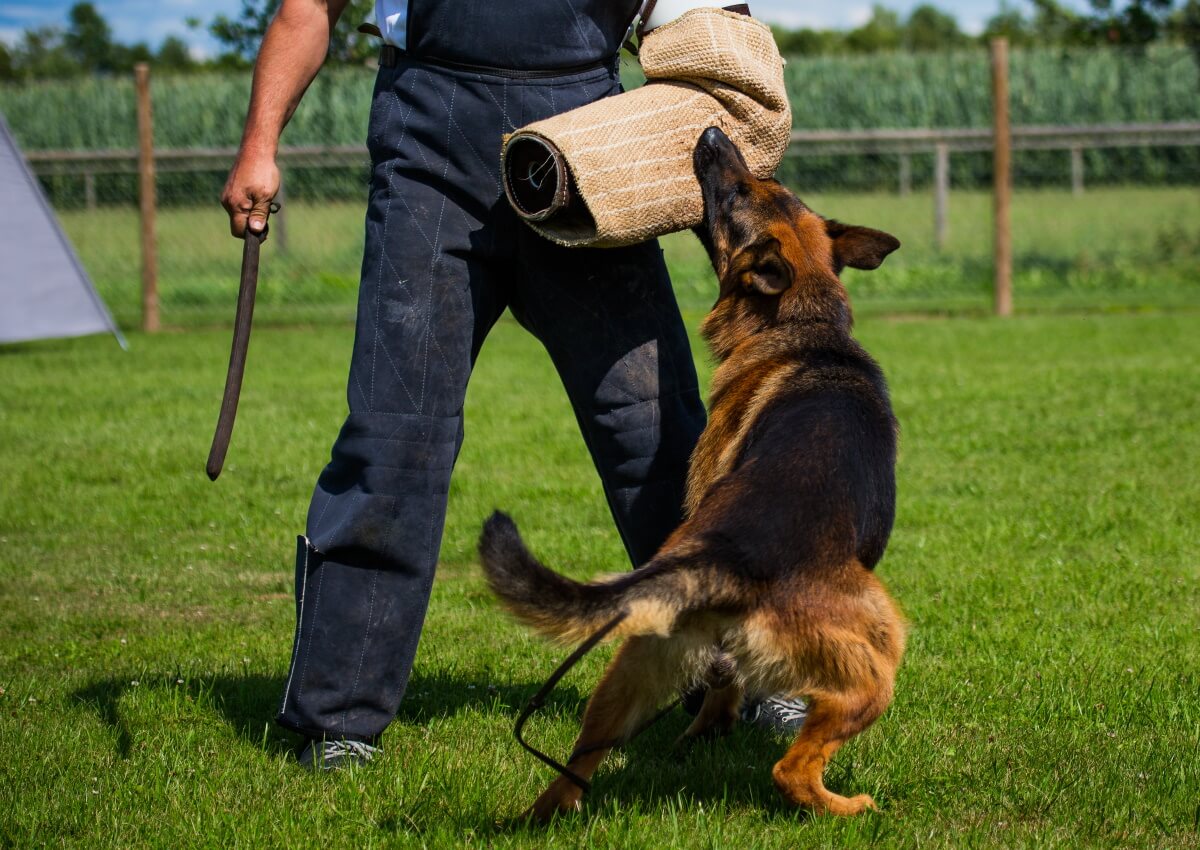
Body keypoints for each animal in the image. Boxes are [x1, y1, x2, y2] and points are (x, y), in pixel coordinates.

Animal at [477, 124, 902, 816]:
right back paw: (845, 806)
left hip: (632, 670)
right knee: (790, 769)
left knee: (577, 766)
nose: (710, 133)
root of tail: (728, 560)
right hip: (879, 656)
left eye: (747, 192)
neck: (806, 322)